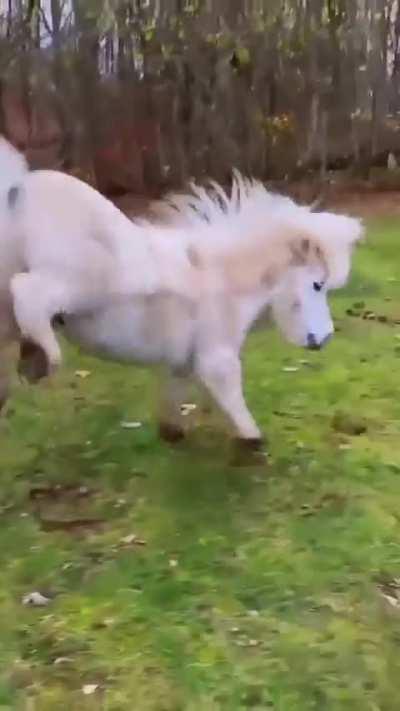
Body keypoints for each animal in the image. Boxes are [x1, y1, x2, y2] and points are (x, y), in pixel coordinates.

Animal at [0, 138, 363, 450]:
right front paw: (253, 446)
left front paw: (173, 434)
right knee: (29, 293)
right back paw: (43, 358)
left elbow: (174, 398)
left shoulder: (182, 362)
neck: (224, 281)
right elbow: (234, 399)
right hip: (77, 285)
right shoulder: (217, 356)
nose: (325, 338)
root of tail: (18, 191)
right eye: (318, 284)